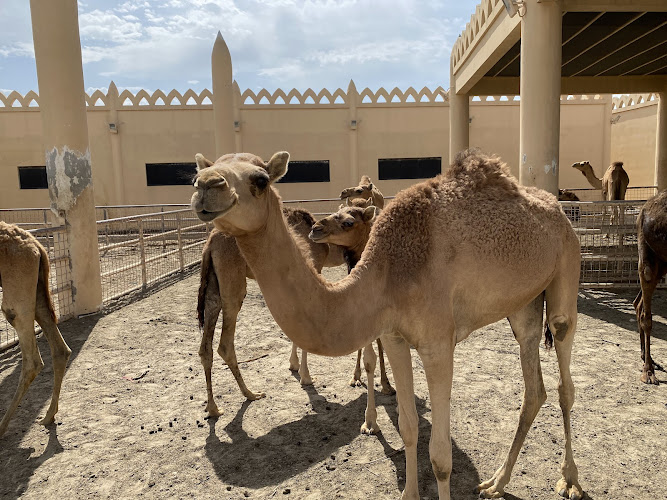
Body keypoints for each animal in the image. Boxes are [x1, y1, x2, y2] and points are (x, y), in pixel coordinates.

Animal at [0, 222, 71, 437]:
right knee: (61, 350)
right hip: (37, 285)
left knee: (32, 361)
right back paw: (49, 416)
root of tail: (37, 246)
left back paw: (2, 427)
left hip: (17, 284)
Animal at [197, 204, 345, 417]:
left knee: (205, 345)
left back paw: (214, 408)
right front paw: (306, 377)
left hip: (213, 283)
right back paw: (251, 394)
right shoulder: (312, 269)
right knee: (225, 343)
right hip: (232, 277)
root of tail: (210, 243)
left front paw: (294, 366)